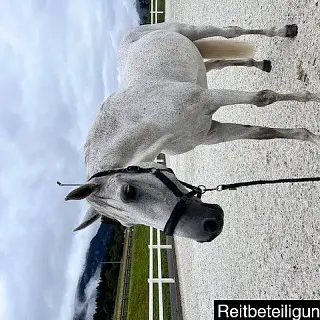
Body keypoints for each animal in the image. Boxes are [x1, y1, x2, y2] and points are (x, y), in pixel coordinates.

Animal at [63, 22, 318, 242]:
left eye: (129, 192)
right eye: (129, 225)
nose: (209, 227)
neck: (146, 118)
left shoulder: (210, 99)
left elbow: (264, 98)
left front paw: (313, 101)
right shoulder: (212, 133)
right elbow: (261, 132)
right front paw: (311, 136)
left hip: (191, 31)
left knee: (230, 32)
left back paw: (286, 31)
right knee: (218, 62)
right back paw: (262, 64)